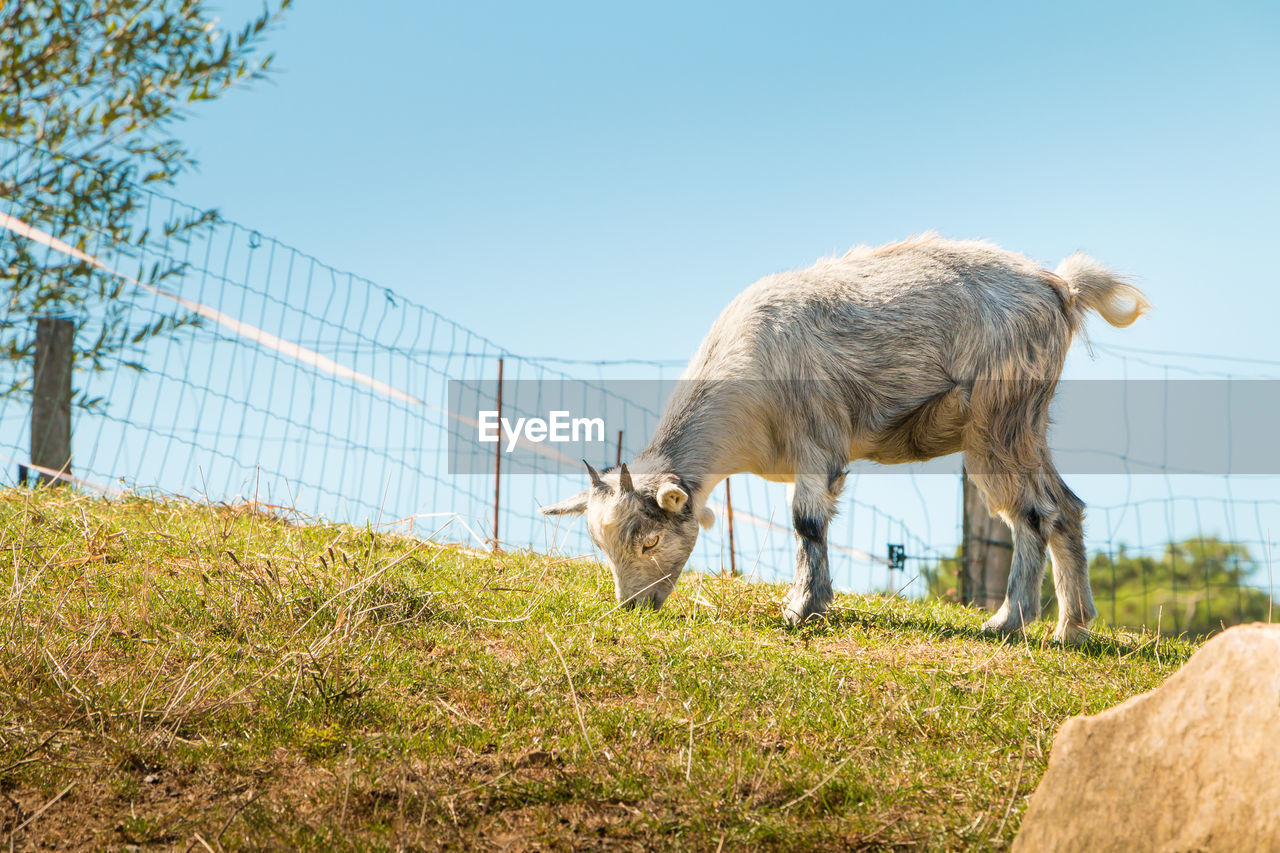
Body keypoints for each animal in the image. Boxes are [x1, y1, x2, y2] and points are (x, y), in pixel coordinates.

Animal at [540, 233, 1152, 637]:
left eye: (648, 541)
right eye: (600, 546)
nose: (633, 608)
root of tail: (1061, 286)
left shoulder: (818, 441)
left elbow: (806, 522)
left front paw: (804, 609)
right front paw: (798, 599)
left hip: (999, 418)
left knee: (1033, 513)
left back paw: (1007, 623)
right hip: (1027, 424)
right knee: (1063, 506)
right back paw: (1072, 628)